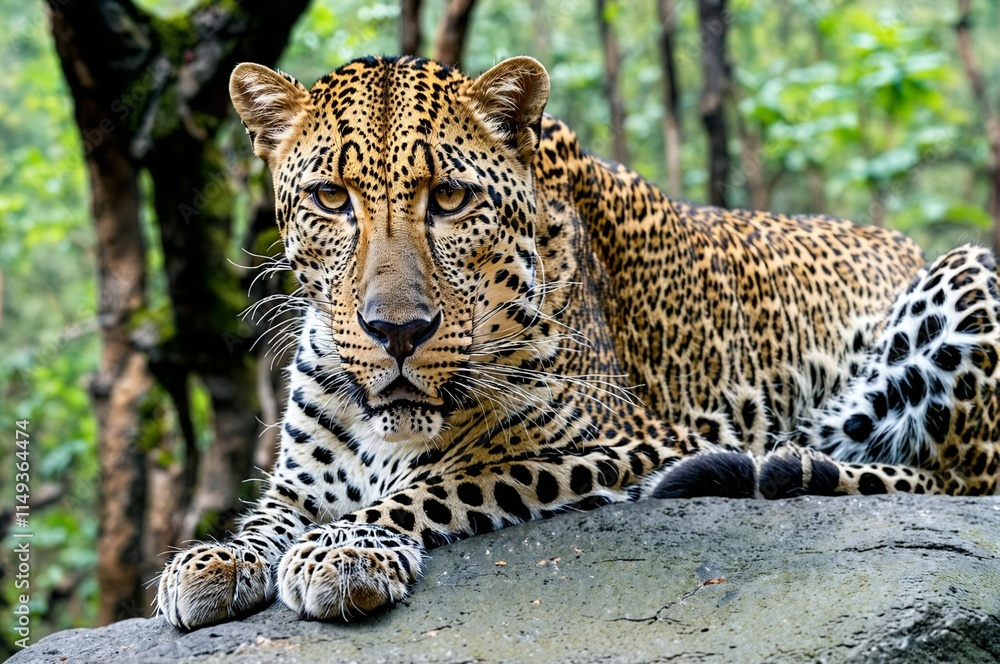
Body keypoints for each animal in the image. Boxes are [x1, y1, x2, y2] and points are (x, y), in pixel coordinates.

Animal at [156, 55, 1000, 630]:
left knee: (952, 478)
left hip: (972, 271)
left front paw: (344, 548)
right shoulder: (298, 479)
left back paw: (781, 469)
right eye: (331, 198)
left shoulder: (617, 439)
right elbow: (268, 516)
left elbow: (438, 485)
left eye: (450, 199)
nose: (398, 331)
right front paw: (216, 560)